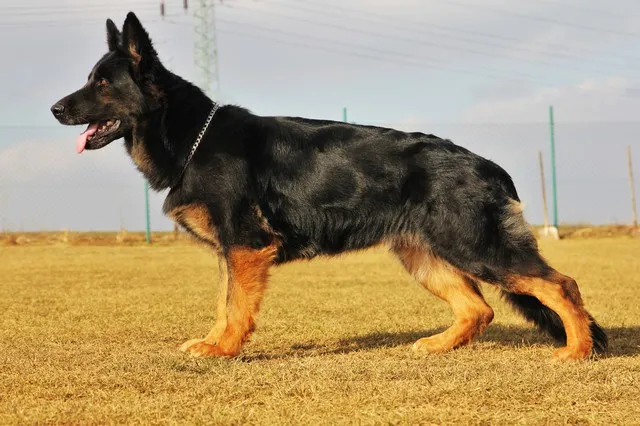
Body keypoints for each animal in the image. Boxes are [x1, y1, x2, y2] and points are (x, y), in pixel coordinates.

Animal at [51, 12, 604, 360]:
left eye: (103, 84)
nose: (55, 109)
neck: (191, 135)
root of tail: (487, 166)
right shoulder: (230, 251)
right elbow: (222, 302)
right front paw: (212, 341)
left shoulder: (245, 246)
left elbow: (234, 306)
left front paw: (224, 349)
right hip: (424, 256)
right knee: (481, 308)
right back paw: (438, 345)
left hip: (476, 248)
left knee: (561, 285)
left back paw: (576, 352)